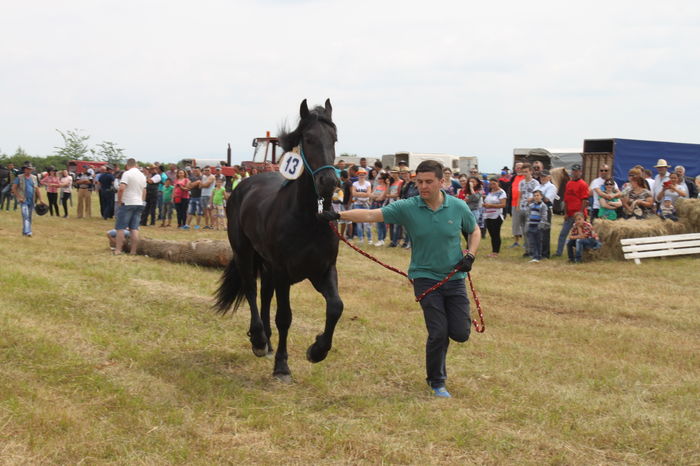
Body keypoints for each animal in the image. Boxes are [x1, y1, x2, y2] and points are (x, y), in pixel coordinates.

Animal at [215, 99, 344, 382]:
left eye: (334, 138)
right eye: (308, 138)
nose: (329, 182)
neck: (308, 219)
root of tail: (243, 185)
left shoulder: (323, 270)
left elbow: (335, 307)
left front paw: (317, 350)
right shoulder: (284, 272)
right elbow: (285, 317)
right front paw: (282, 367)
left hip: (267, 265)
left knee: (264, 295)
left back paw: (268, 341)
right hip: (245, 254)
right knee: (252, 291)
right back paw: (259, 341)